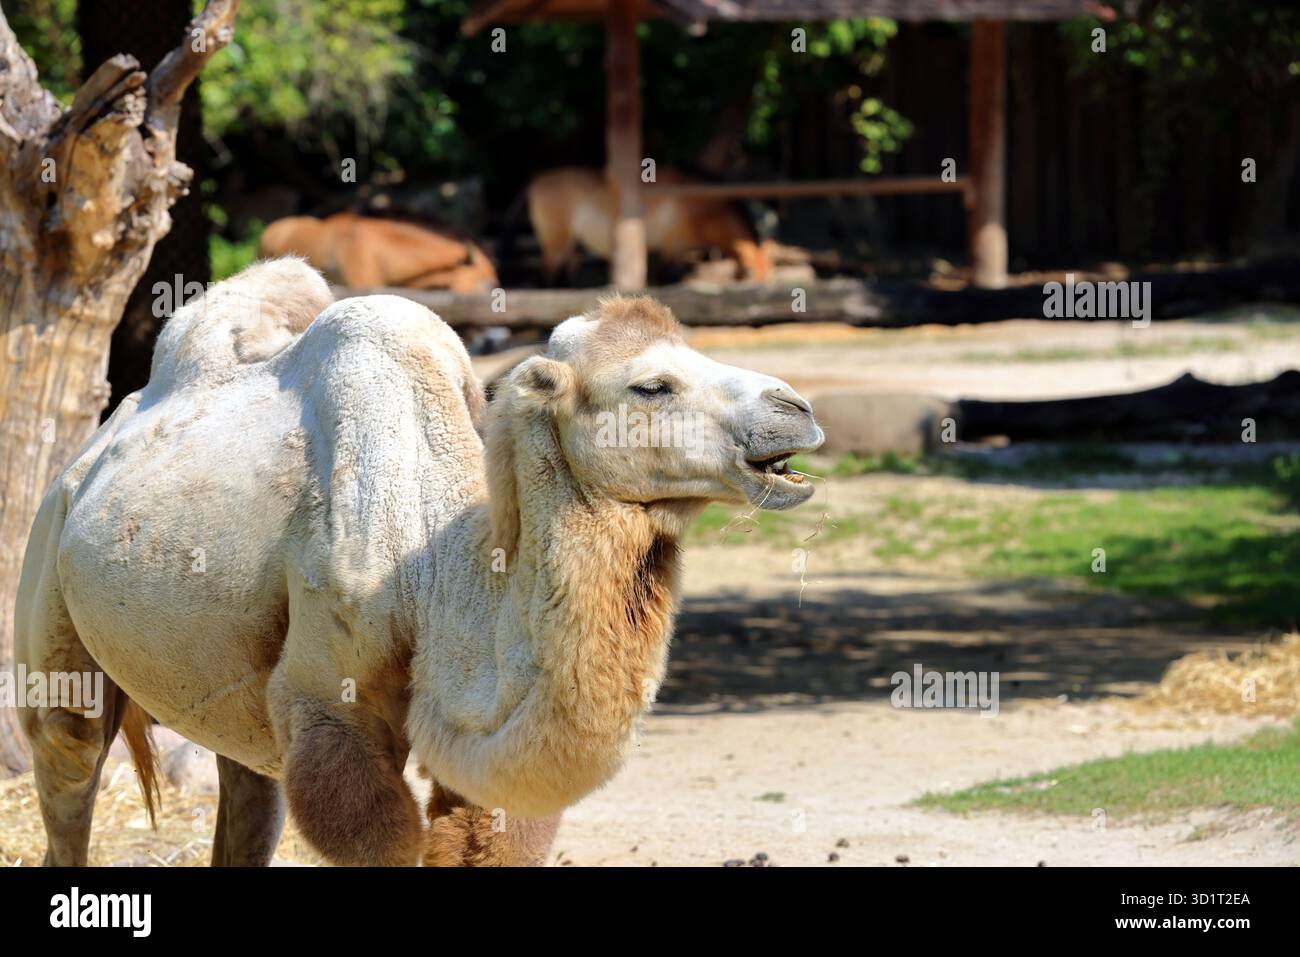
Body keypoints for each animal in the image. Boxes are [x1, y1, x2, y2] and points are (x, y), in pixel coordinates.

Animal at [15, 257, 823, 867]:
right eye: (651, 385)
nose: (798, 408)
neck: (430, 573)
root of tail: (91, 450)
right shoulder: (326, 703)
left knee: (244, 793)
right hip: (47, 586)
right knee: (68, 755)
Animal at [527, 167, 775, 283]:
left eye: (770, 274)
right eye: (750, 272)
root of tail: (536, 181)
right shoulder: (672, 249)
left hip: (570, 247)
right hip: (557, 242)